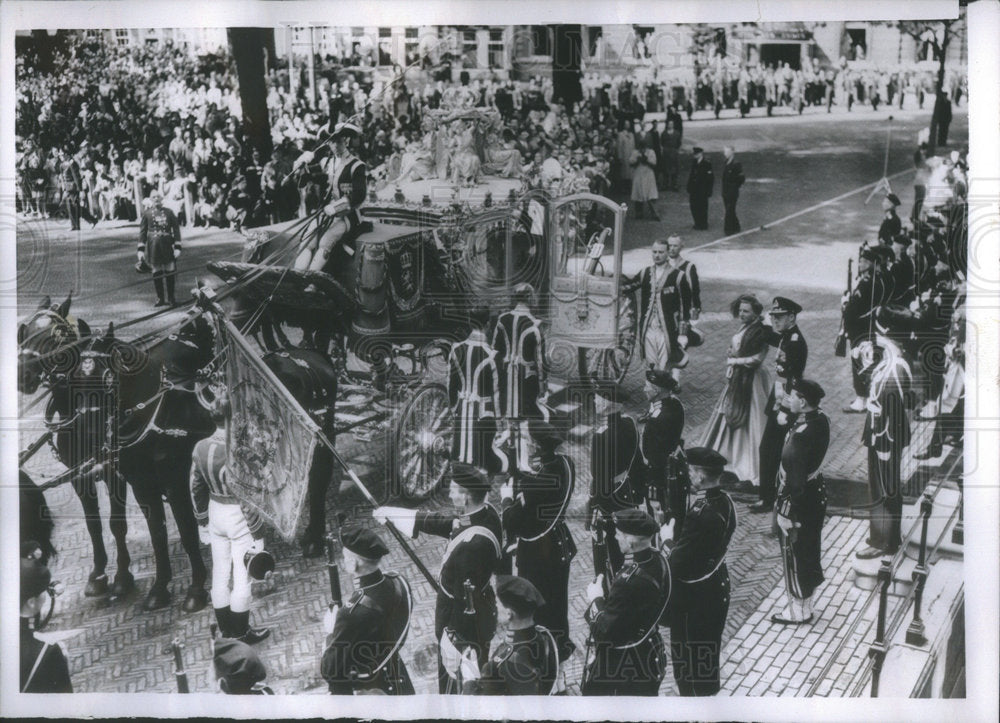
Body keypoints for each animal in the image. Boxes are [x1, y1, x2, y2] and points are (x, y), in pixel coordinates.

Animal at [16, 294, 215, 612]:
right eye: (22, 332)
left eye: (54, 337)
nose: (23, 375)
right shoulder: (83, 477)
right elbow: (96, 526)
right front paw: (98, 575)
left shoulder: (118, 474)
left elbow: (119, 524)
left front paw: (123, 577)